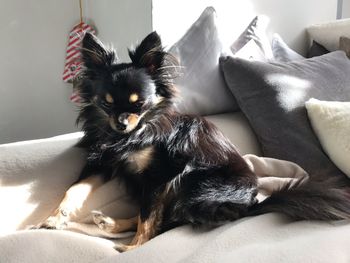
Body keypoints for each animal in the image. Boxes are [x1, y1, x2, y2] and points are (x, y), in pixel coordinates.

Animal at [35, 32, 350, 253]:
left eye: (141, 104)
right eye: (106, 103)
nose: (121, 123)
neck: (129, 136)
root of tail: (251, 205)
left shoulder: (159, 174)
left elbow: (149, 215)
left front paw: (136, 247)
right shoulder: (102, 163)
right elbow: (74, 189)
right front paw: (54, 218)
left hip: (192, 182)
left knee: (170, 218)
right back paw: (111, 222)